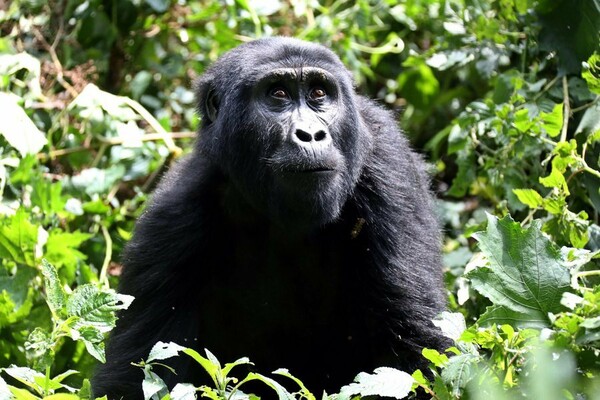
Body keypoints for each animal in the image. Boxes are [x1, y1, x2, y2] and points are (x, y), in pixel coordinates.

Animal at [94, 36, 448, 396]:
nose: (311, 134)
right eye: (277, 94)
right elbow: (136, 372)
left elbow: (415, 344)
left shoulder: (389, 164)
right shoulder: (170, 220)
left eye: (318, 93)